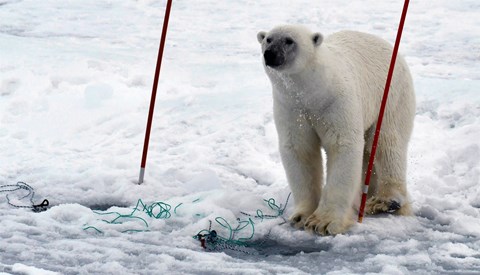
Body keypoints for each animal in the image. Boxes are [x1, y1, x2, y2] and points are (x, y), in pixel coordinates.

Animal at [258, 25, 416, 235]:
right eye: (267, 39)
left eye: (289, 40)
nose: (270, 54)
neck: (312, 91)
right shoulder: (291, 107)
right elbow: (300, 150)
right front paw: (301, 216)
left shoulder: (336, 101)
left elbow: (342, 145)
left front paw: (323, 222)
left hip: (391, 94)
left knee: (387, 142)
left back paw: (387, 201)